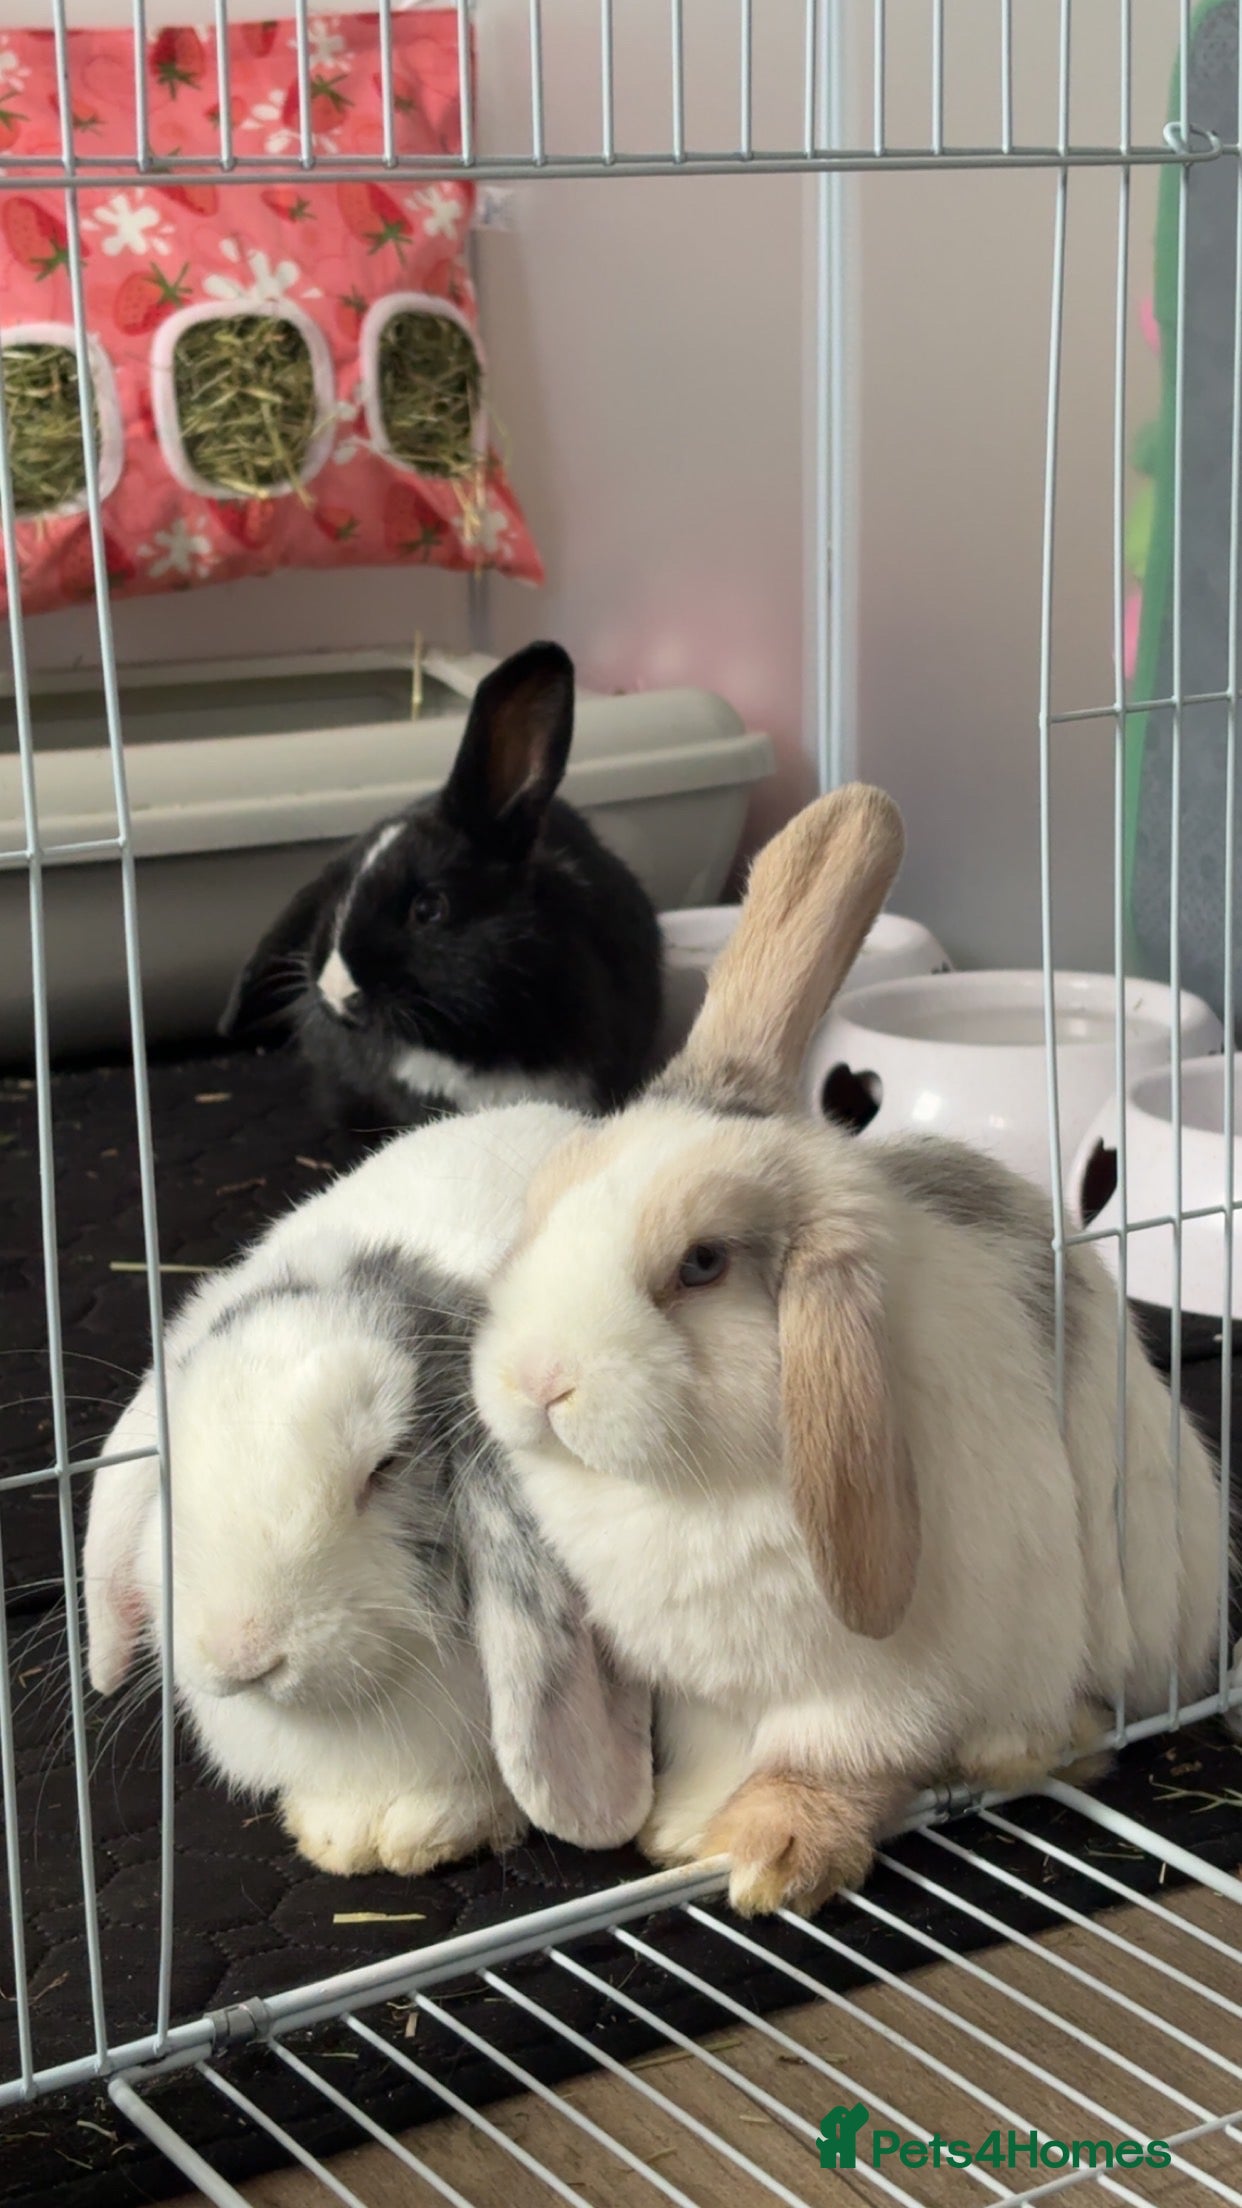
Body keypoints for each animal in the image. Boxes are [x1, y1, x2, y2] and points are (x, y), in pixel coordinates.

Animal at [471, 785, 1227, 1918]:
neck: (693, 1487)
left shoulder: (867, 1687)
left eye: (701, 1264)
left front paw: (773, 1859)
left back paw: (1017, 1749)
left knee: (1077, 1719)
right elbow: (716, 1753)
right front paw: (680, 1832)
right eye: (547, 1199)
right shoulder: (706, 1692)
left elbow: (829, 1762)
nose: (538, 1380)